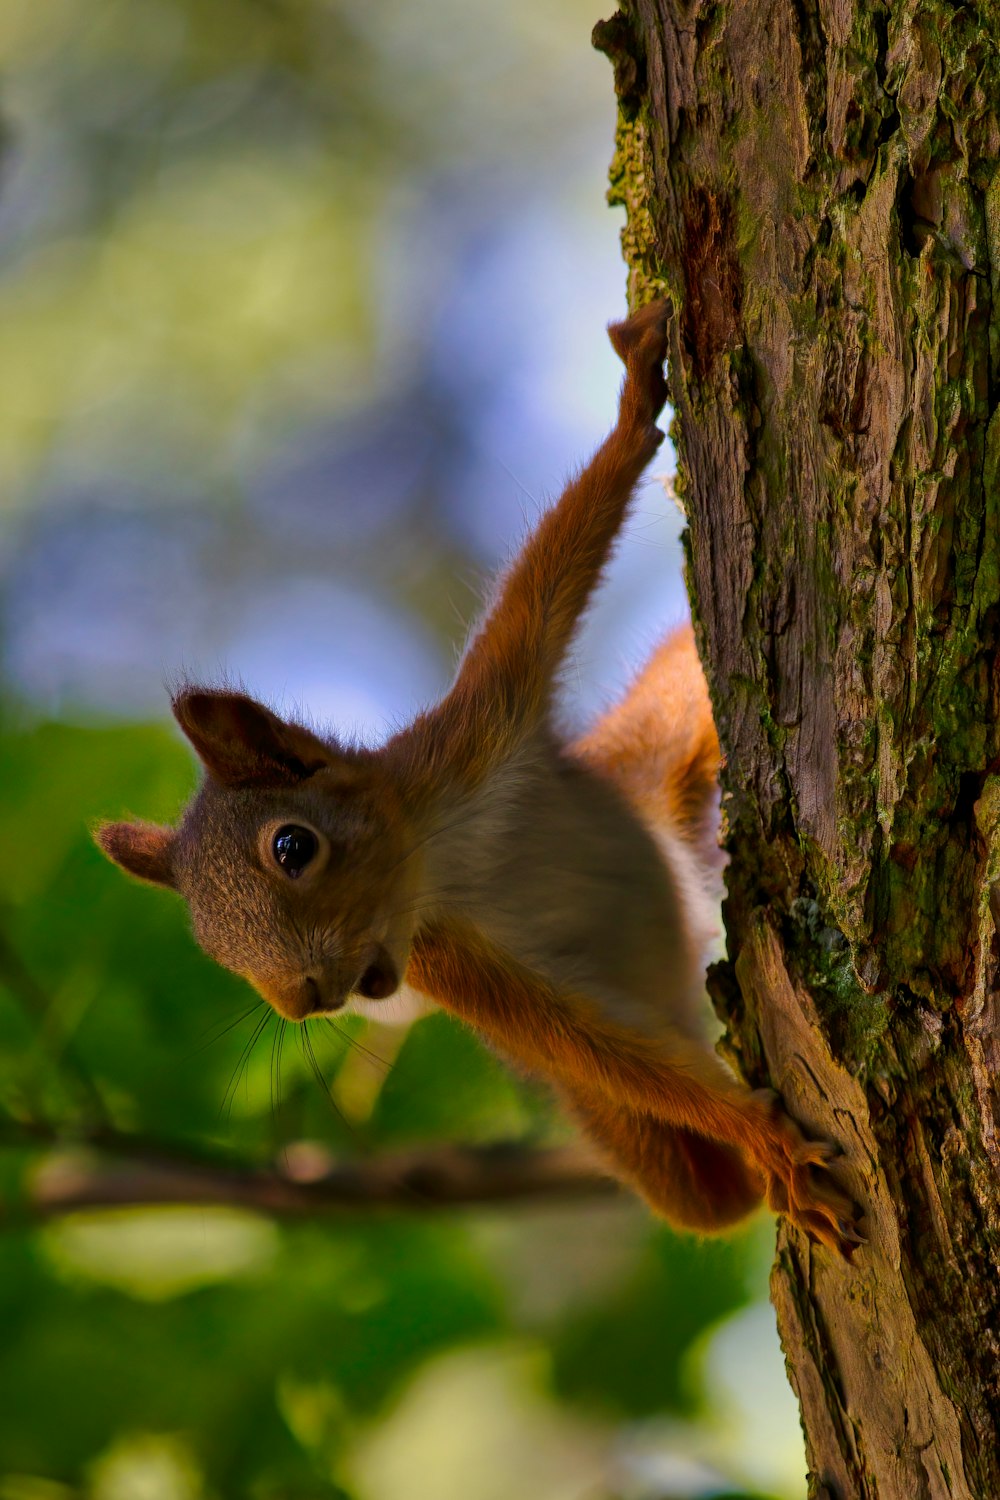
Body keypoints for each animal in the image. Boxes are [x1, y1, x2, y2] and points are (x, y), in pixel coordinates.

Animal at [99, 301, 863, 1254]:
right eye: (214, 950)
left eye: (292, 847)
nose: (306, 1002)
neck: (442, 854)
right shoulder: (450, 962)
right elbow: (580, 1040)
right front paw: (764, 1140)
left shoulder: (476, 727)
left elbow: (551, 575)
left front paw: (630, 412)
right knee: (701, 1195)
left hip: (659, 759)